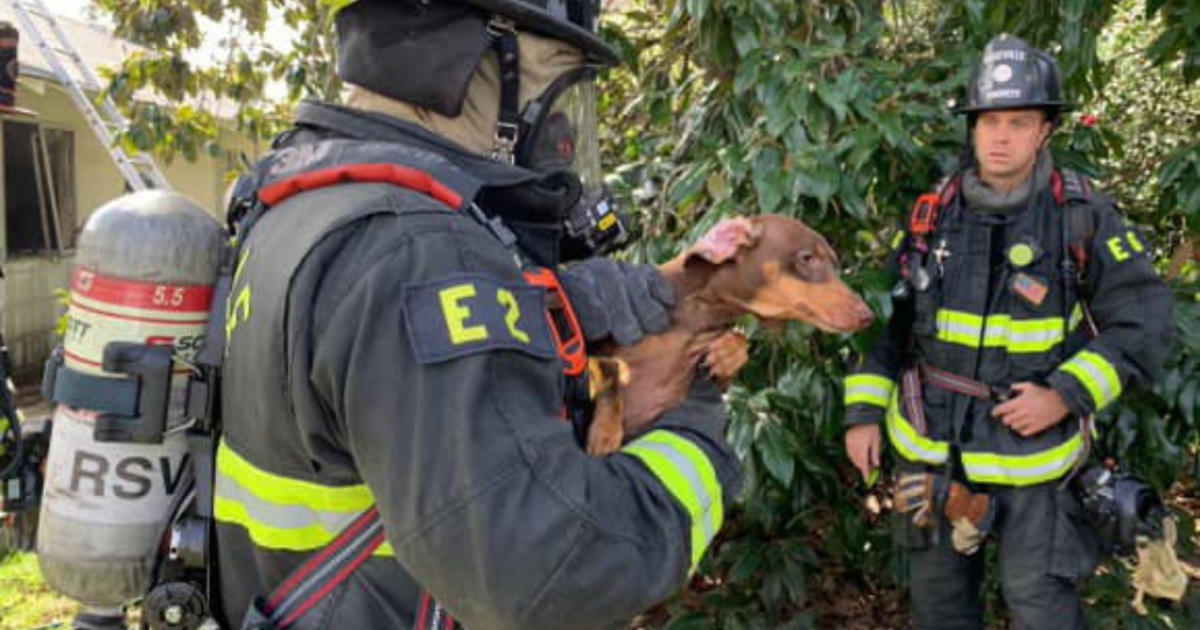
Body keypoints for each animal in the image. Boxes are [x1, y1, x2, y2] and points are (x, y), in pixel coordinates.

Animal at [844, 36, 1171, 628]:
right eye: (994, 121)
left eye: (1017, 121)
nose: (997, 139)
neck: (1001, 202)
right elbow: (889, 328)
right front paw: (861, 434)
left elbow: (1140, 311)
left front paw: (1043, 403)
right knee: (941, 582)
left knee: (1035, 580)